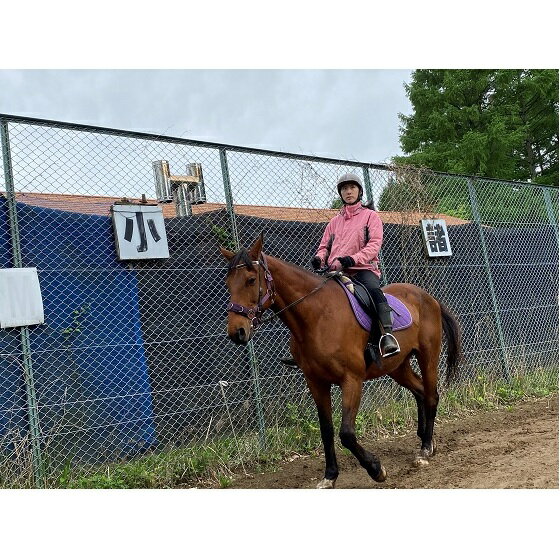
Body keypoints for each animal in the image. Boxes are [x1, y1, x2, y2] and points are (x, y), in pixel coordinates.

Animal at [221, 234, 462, 488]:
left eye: (250, 280)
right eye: (228, 283)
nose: (236, 332)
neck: (317, 317)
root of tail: (428, 297)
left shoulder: (351, 380)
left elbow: (346, 433)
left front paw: (376, 469)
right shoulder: (316, 383)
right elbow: (326, 430)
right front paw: (329, 476)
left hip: (428, 356)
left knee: (432, 395)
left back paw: (425, 449)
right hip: (397, 366)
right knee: (420, 391)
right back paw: (427, 440)